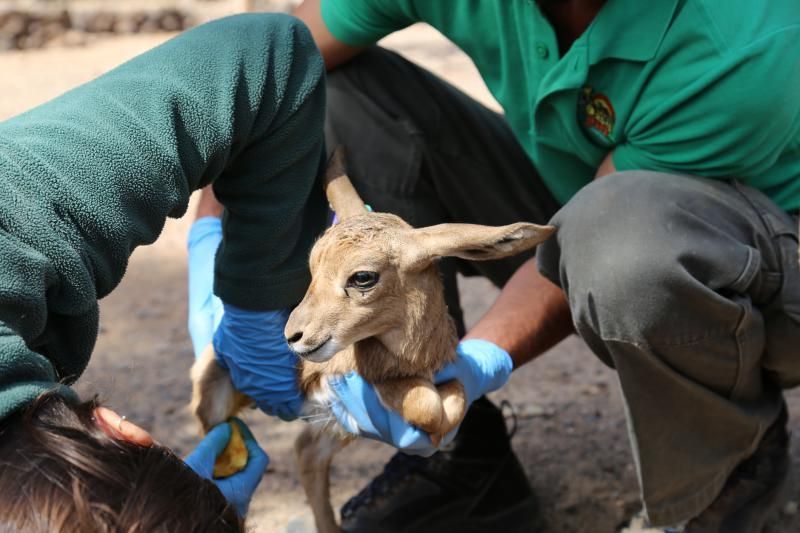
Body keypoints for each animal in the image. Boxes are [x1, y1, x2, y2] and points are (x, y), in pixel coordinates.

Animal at [190, 152, 552, 528]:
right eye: (312, 267)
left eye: (363, 277)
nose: (294, 335)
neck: (415, 358)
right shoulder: (370, 385)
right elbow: (425, 405)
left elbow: (455, 397)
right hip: (216, 405)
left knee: (306, 450)